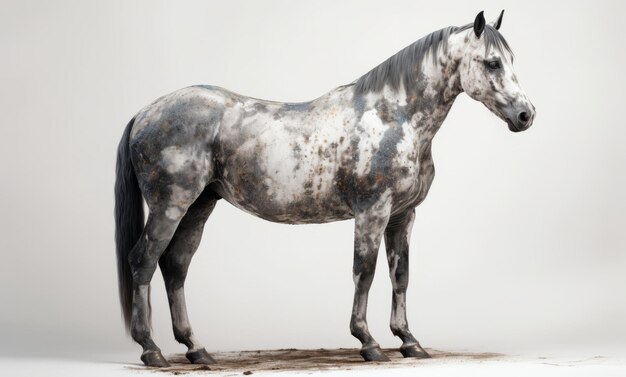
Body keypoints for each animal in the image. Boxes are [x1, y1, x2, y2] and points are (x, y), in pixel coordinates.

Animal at [113, 11, 532, 368]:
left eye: (511, 60)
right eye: (492, 63)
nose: (526, 115)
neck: (395, 118)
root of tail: (144, 114)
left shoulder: (403, 215)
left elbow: (401, 275)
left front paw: (409, 342)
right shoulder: (372, 212)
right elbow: (365, 272)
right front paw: (369, 343)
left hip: (199, 206)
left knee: (175, 267)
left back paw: (196, 349)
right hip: (170, 204)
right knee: (143, 262)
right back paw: (151, 350)